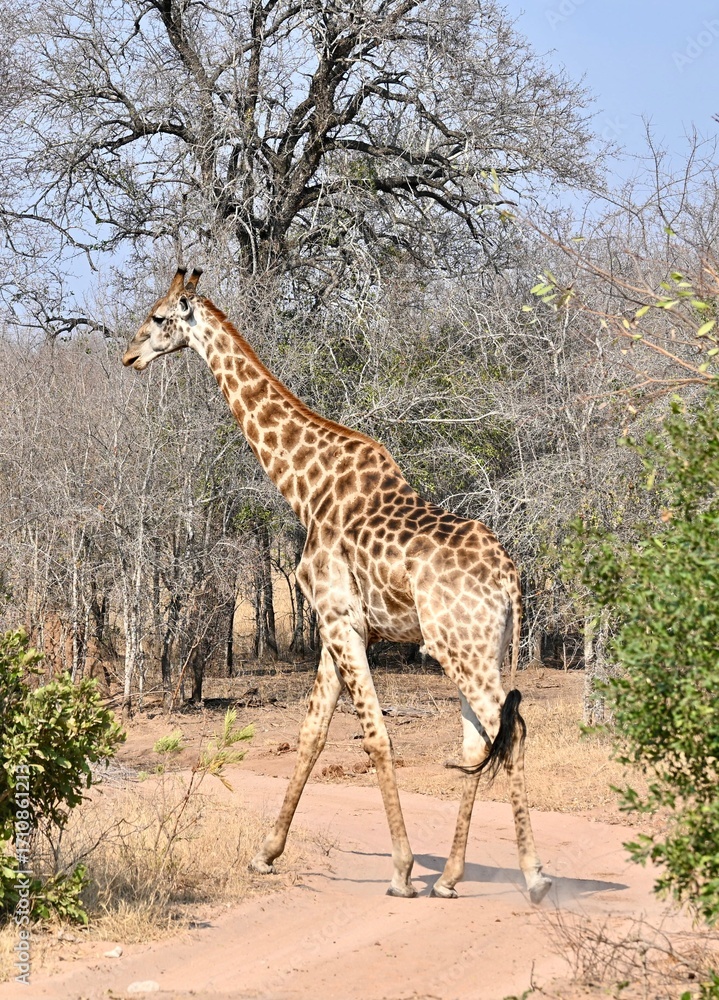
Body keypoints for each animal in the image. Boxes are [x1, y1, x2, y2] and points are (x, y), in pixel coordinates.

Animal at [122, 266, 552, 904]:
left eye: (157, 317)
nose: (129, 355)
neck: (305, 486)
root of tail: (512, 578)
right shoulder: (339, 627)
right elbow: (312, 733)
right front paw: (265, 854)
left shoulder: (339, 619)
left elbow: (375, 737)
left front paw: (401, 871)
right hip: (481, 649)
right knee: (482, 741)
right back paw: (450, 878)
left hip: (462, 648)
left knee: (510, 733)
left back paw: (533, 876)